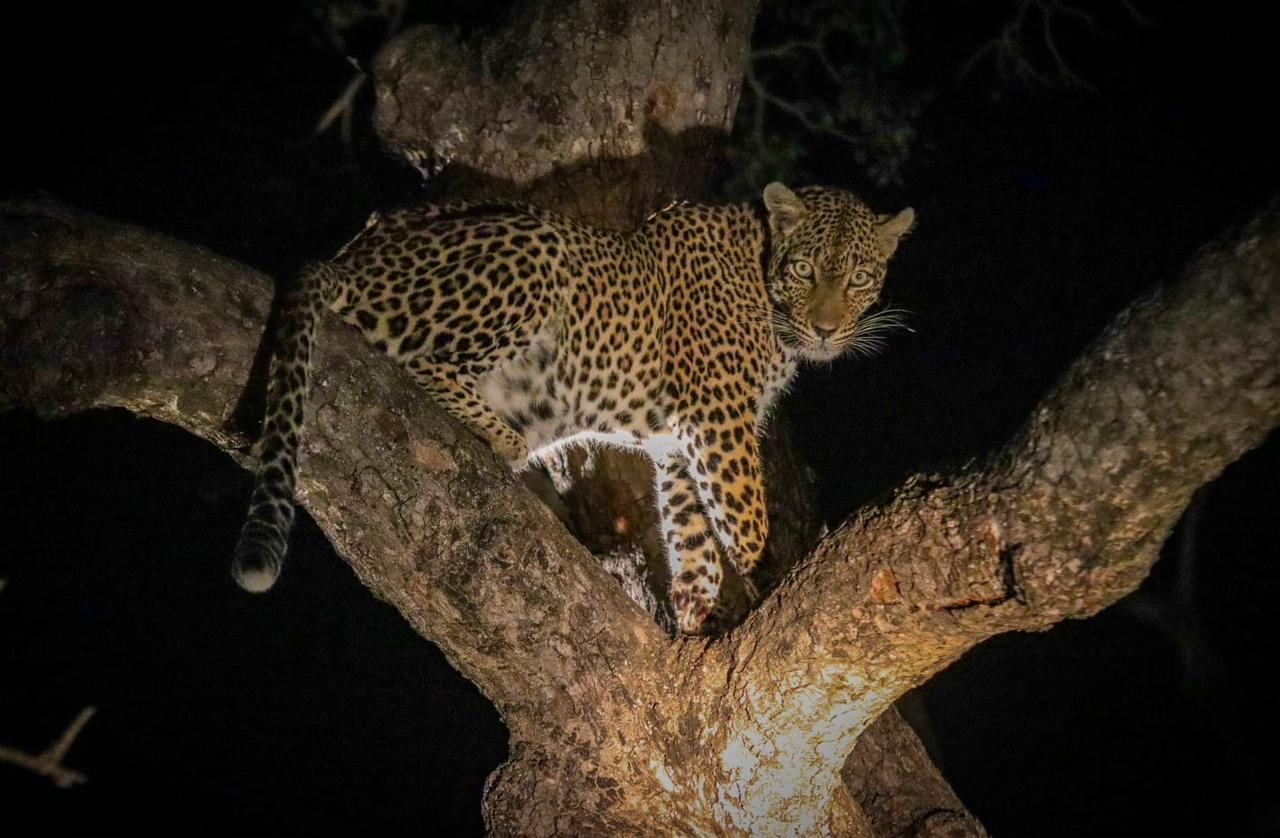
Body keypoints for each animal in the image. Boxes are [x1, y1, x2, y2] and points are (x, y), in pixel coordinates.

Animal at [227, 180, 911, 632]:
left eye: (859, 278)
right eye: (804, 270)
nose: (826, 330)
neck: (763, 272)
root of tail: (350, 260)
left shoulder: (677, 439)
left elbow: (692, 530)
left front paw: (695, 615)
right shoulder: (718, 414)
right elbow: (743, 515)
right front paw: (767, 579)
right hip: (535, 245)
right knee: (418, 358)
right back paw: (503, 437)